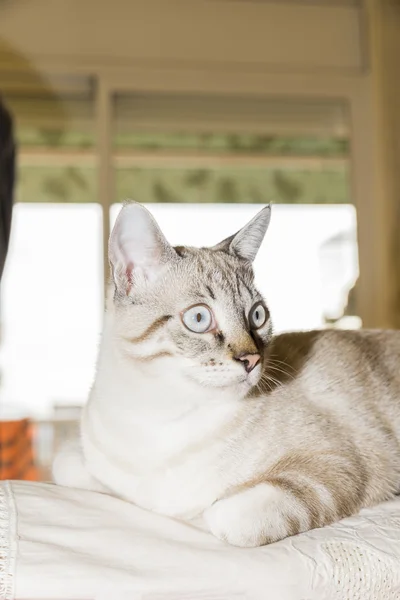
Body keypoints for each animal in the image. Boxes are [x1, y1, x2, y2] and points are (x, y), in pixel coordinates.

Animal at [53, 203, 400, 548]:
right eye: (199, 318)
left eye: (258, 315)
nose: (252, 359)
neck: (159, 417)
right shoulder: (80, 463)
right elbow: (69, 469)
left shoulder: (337, 464)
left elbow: (225, 517)